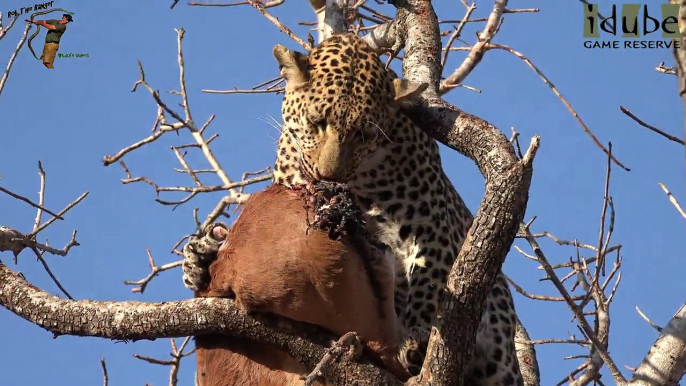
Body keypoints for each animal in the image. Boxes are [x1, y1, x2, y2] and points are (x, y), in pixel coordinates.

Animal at [183, 34, 520, 386]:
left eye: (365, 134)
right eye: (317, 123)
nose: (328, 176)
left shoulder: (432, 222)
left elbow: (430, 279)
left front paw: (419, 334)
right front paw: (200, 254)